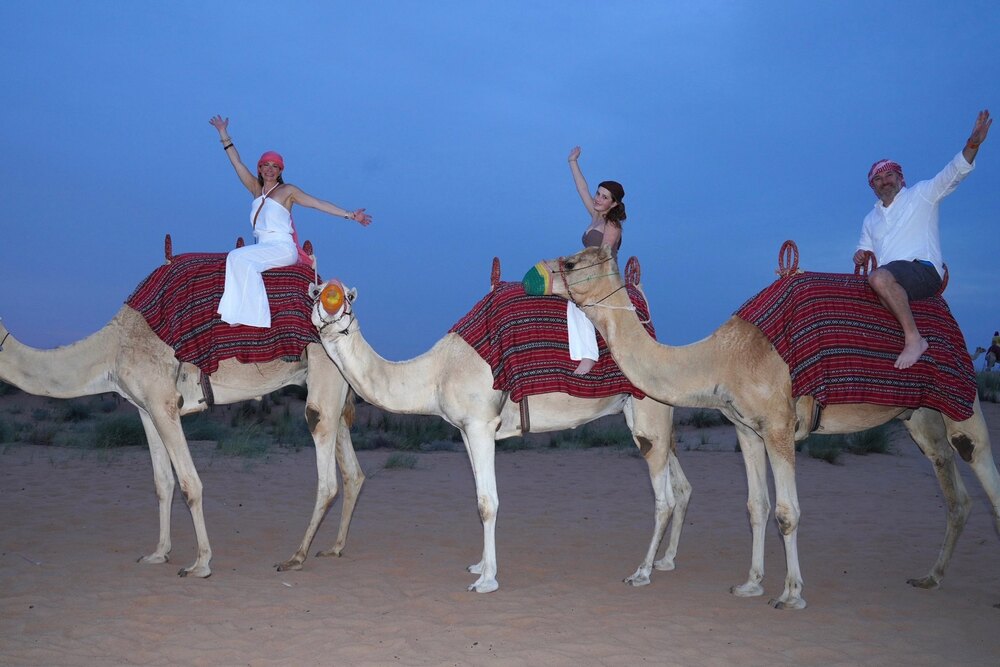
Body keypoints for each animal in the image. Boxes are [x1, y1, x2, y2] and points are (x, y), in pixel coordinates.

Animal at [0, 308, 364, 580]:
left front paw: (200, 564)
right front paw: (158, 553)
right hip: (336, 387)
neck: (112, 350)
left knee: (327, 476)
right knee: (353, 473)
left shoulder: (163, 401)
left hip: (323, 378)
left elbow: (190, 483)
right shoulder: (145, 408)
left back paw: (296, 557)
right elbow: (163, 483)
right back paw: (334, 547)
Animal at [308, 282, 692, 596]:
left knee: (664, 499)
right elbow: (480, 498)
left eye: (345, 296)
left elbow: (487, 503)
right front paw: (480, 565)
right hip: (648, 417)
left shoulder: (480, 424)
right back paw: (666, 561)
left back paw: (641, 572)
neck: (437, 373)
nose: (327, 306)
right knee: (681, 487)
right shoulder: (466, 429)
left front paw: (486, 580)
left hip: (649, 413)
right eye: (317, 292)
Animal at [536, 245, 1000, 612]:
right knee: (956, 494)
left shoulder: (779, 425)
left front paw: (791, 594)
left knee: (982, 469)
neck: (721, 360)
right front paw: (751, 584)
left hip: (962, 400)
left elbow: (787, 511)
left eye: (572, 261)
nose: (535, 274)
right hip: (919, 416)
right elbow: (756, 506)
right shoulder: (747, 430)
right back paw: (930, 577)